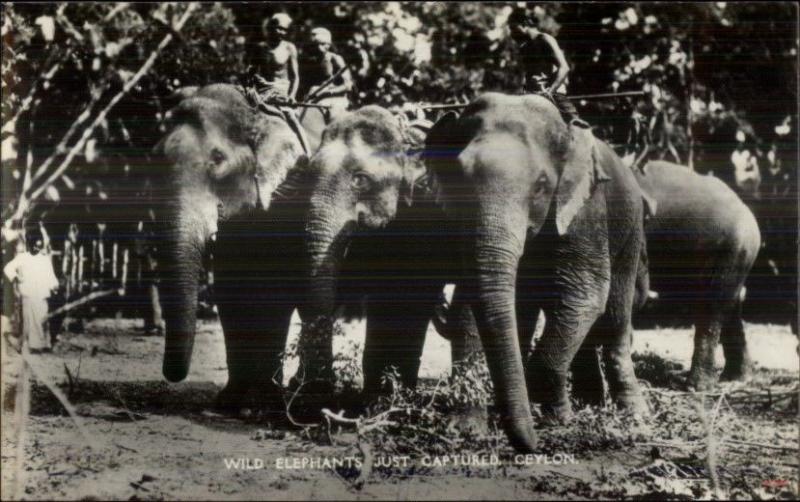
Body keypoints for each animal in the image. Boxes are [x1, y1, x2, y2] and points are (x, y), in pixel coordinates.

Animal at [154, 83, 324, 412]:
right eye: (155, 157)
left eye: (218, 160)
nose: (171, 377)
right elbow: (231, 290)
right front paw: (229, 402)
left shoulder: (286, 195)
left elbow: (276, 292)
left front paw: (261, 403)